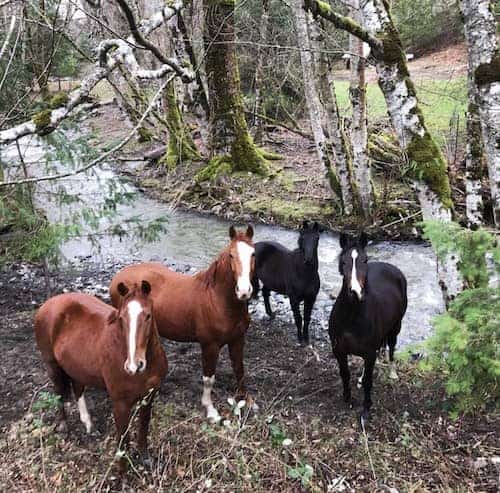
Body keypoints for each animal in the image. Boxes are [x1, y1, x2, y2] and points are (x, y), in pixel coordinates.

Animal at [35, 280, 169, 466]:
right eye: (121, 318)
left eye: (148, 315)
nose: (134, 365)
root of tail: (47, 304)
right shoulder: (121, 404)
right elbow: (123, 440)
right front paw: (122, 470)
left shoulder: (149, 396)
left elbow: (144, 427)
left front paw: (145, 457)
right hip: (52, 365)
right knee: (59, 392)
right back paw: (63, 425)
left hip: (77, 366)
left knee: (77, 388)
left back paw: (88, 424)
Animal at [111, 225, 256, 420]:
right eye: (231, 255)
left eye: (253, 253)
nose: (244, 291)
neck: (217, 299)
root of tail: (119, 277)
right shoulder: (210, 345)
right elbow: (209, 379)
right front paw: (210, 410)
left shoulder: (238, 340)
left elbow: (239, 370)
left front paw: (247, 401)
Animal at [330, 231, 408, 418]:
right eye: (343, 261)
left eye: (365, 260)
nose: (356, 292)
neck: (351, 317)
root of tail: (393, 269)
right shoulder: (338, 350)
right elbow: (345, 374)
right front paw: (347, 398)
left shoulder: (369, 353)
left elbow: (368, 381)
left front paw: (366, 408)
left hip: (396, 327)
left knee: (391, 348)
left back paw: (393, 373)